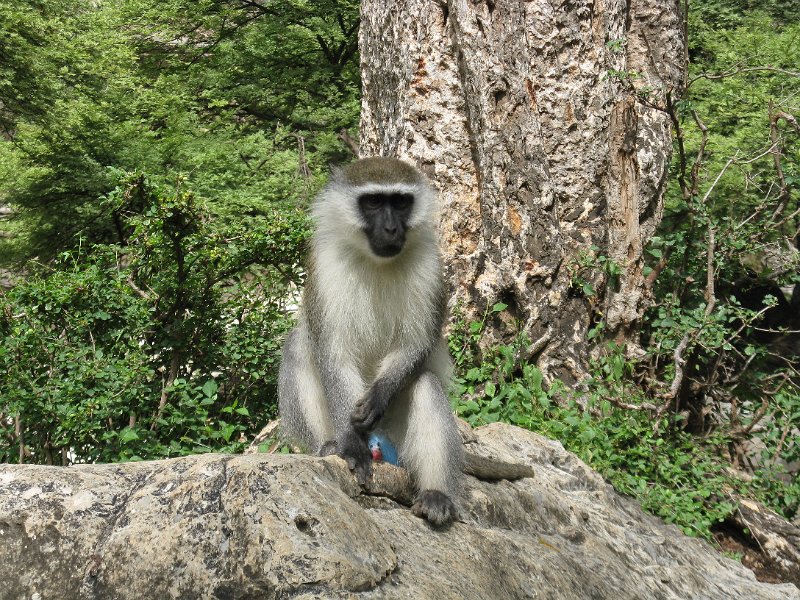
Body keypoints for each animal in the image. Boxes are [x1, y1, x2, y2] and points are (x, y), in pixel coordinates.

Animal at [278, 157, 463, 526]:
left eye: (401, 202)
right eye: (374, 202)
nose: (391, 229)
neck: (378, 263)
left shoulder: (431, 267)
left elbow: (416, 344)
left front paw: (378, 396)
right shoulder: (325, 268)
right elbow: (333, 355)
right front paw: (350, 443)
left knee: (425, 385)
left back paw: (435, 494)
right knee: (297, 350)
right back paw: (329, 447)